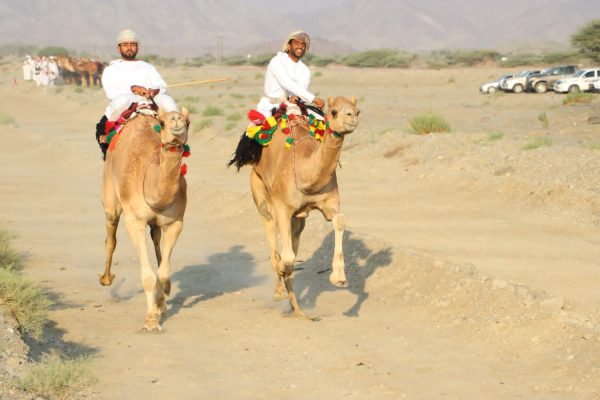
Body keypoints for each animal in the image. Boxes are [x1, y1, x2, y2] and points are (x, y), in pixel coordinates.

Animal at [100, 107, 190, 331]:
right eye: (162, 123)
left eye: (188, 121)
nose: (177, 119)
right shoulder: (134, 221)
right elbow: (148, 277)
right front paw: (150, 321)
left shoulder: (175, 223)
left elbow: (163, 272)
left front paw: (161, 302)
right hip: (110, 197)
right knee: (110, 236)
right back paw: (106, 278)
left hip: (156, 224)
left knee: (157, 242)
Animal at [229, 96, 360, 316]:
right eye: (333, 112)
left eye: (357, 111)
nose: (351, 119)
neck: (306, 175)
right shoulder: (282, 207)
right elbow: (287, 256)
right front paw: (282, 271)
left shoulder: (329, 203)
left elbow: (339, 220)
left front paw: (339, 278)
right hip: (259, 190)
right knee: (270, 229)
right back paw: (279, 291)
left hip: (299, 219)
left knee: (294, 238)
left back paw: (295, 306)